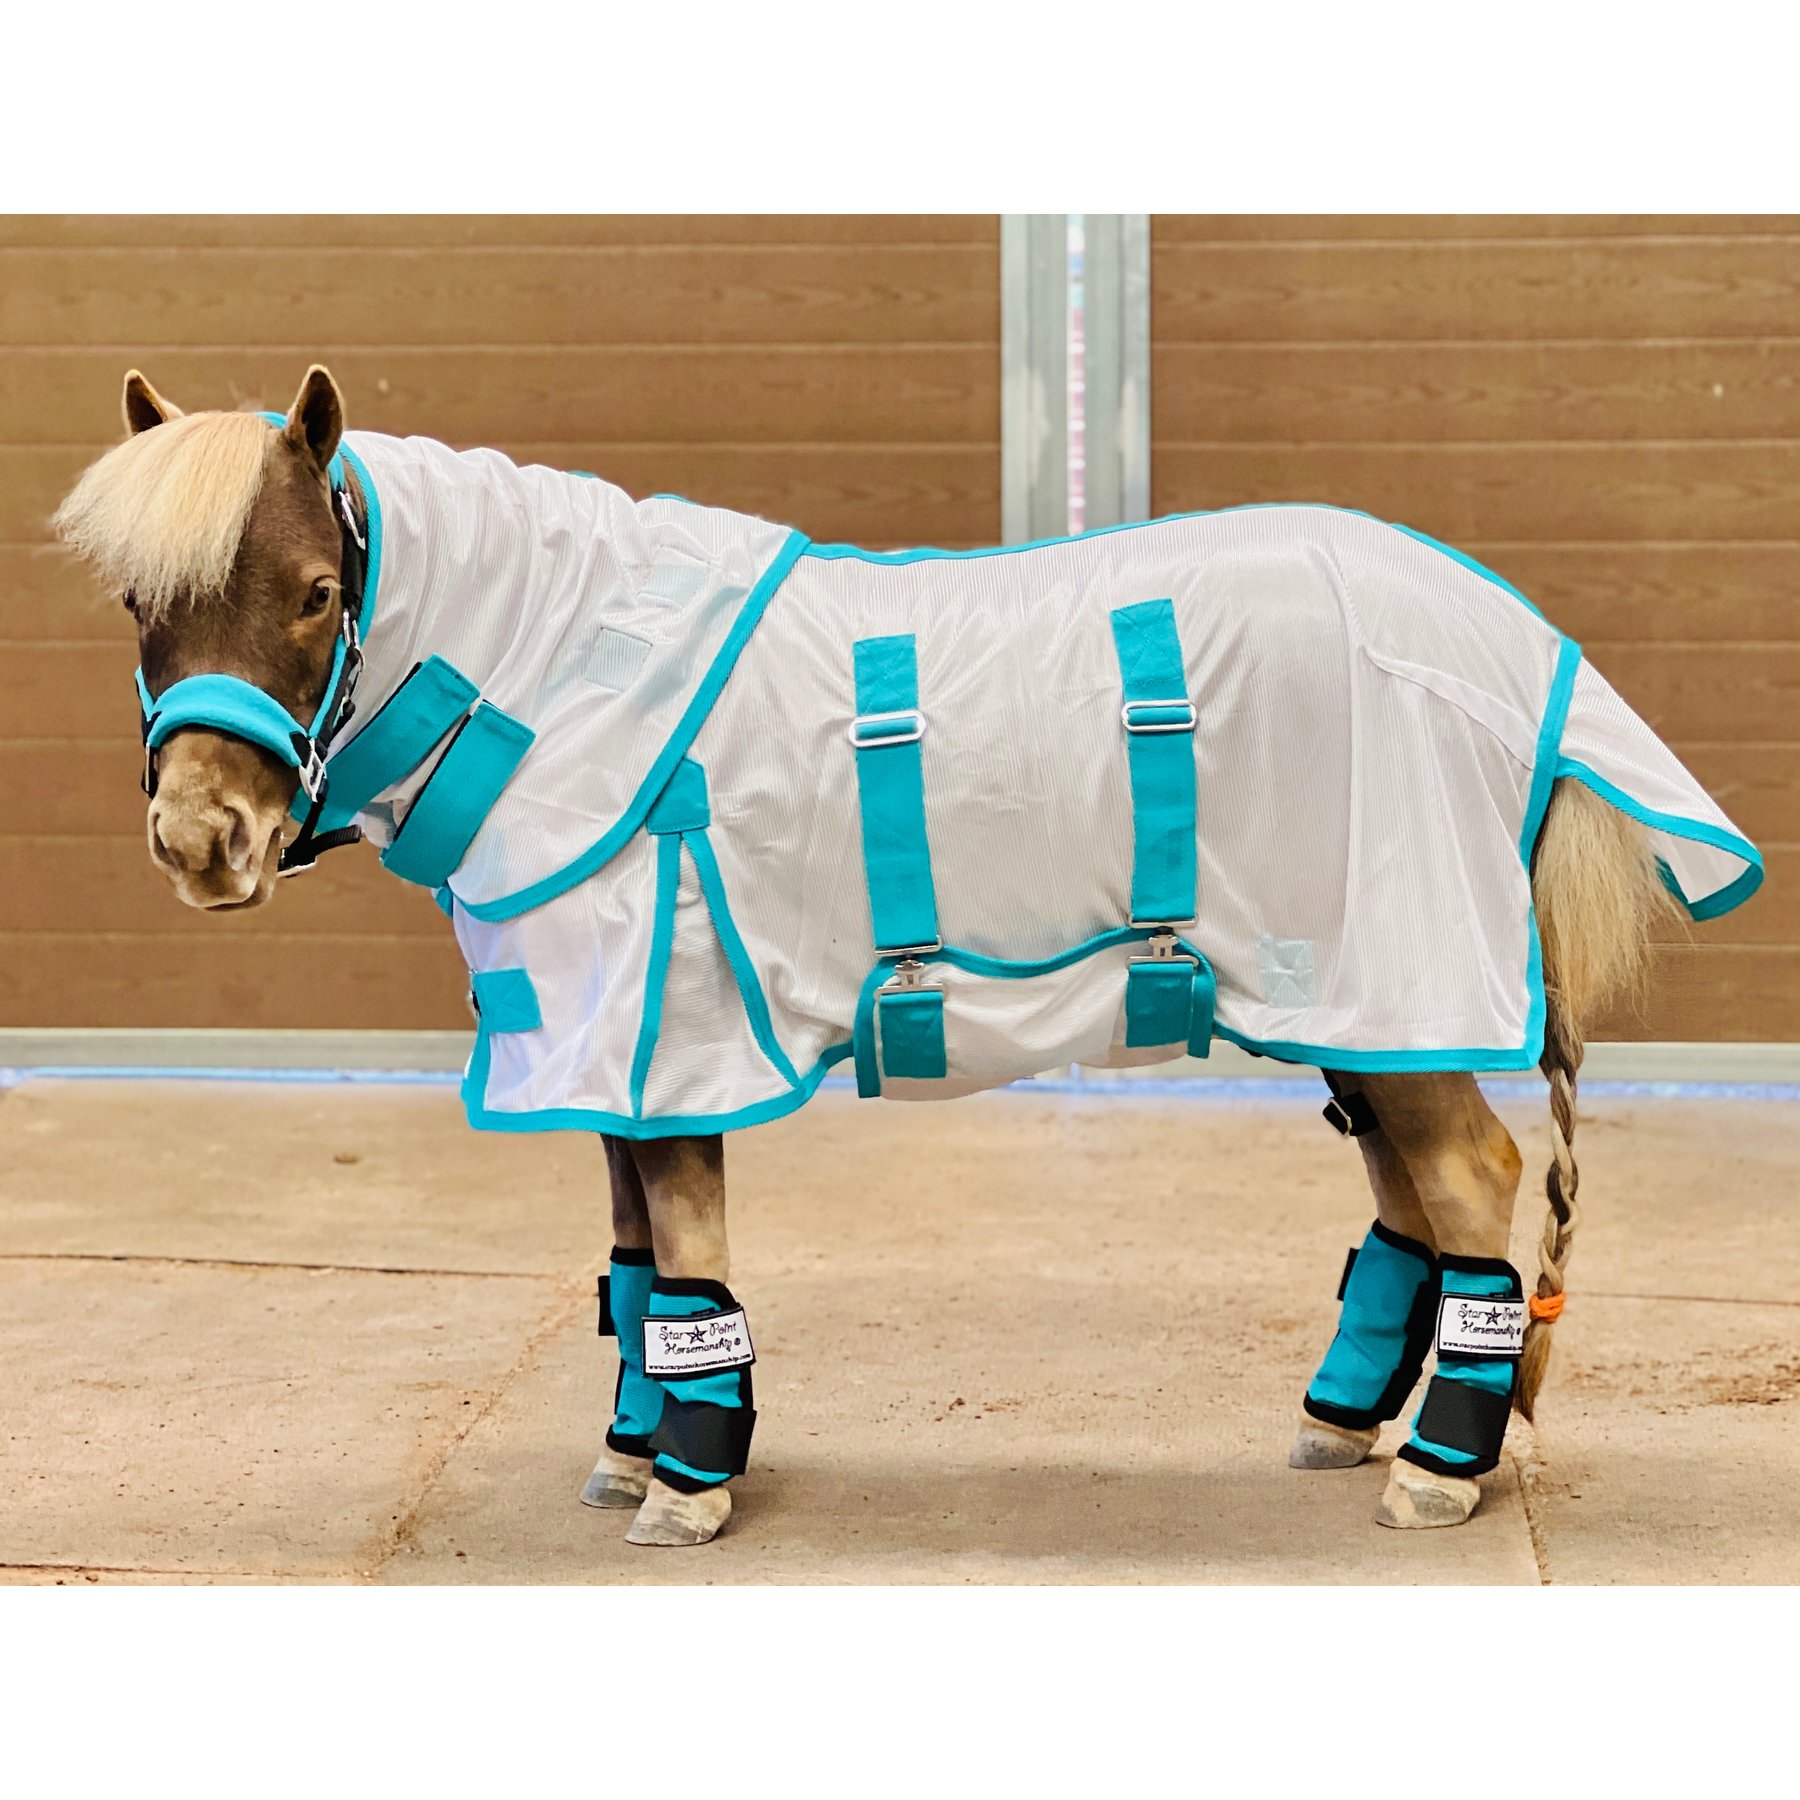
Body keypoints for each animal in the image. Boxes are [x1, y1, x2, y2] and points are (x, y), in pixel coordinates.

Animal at [54, 365, 1761, 1547]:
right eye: (140, 598)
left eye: (316, 593)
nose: (205, 843)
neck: (566, 674)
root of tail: (1513, 646)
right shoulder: (603, 1032)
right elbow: (630, 1252)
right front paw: (630, 1452)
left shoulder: (670, 1022)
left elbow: (681, 1244)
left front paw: (690, 1482)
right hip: (1348, 987)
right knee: (1408, 1192)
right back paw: (1343, 1424)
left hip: (1391, 957)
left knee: (1470, 1175)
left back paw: (1437, 1473)